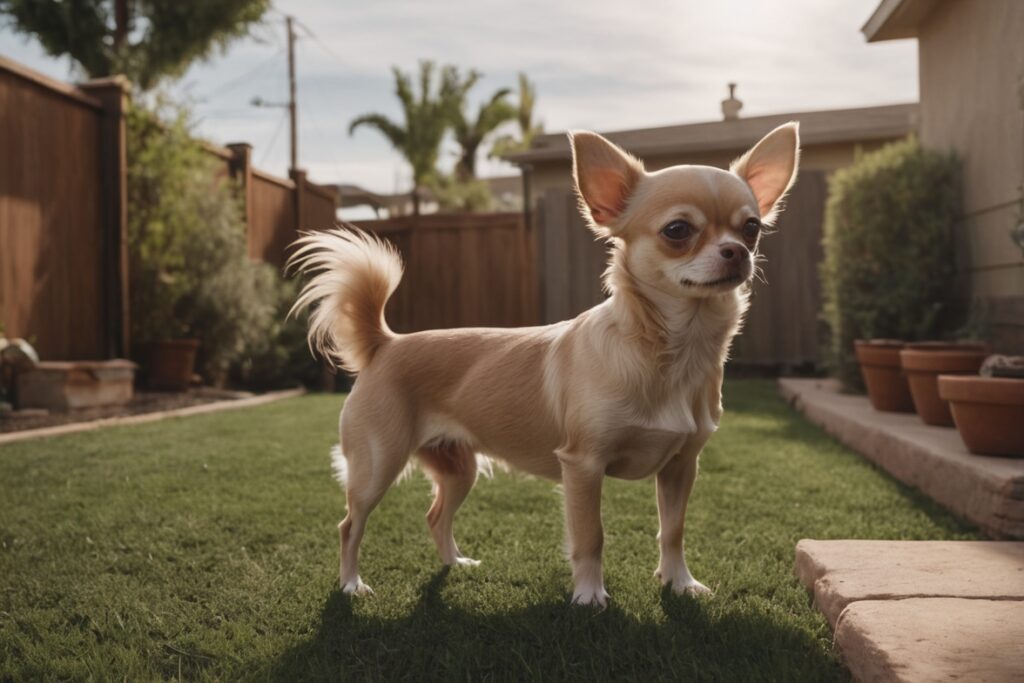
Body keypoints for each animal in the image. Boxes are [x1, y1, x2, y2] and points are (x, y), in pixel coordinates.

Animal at [288, 121, 798, 602]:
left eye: (752, 228)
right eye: (678, 230)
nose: (738, 251)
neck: (670, 348)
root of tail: (385, 342)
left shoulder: (681, 466)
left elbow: (673, 531)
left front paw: (680, 583)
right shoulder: (583, 466)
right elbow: (591, 536)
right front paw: (589, 595)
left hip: (458, 468)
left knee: (435, 515)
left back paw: (455, 564)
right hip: (377, 466)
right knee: (349, 525)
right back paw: (351, 584)